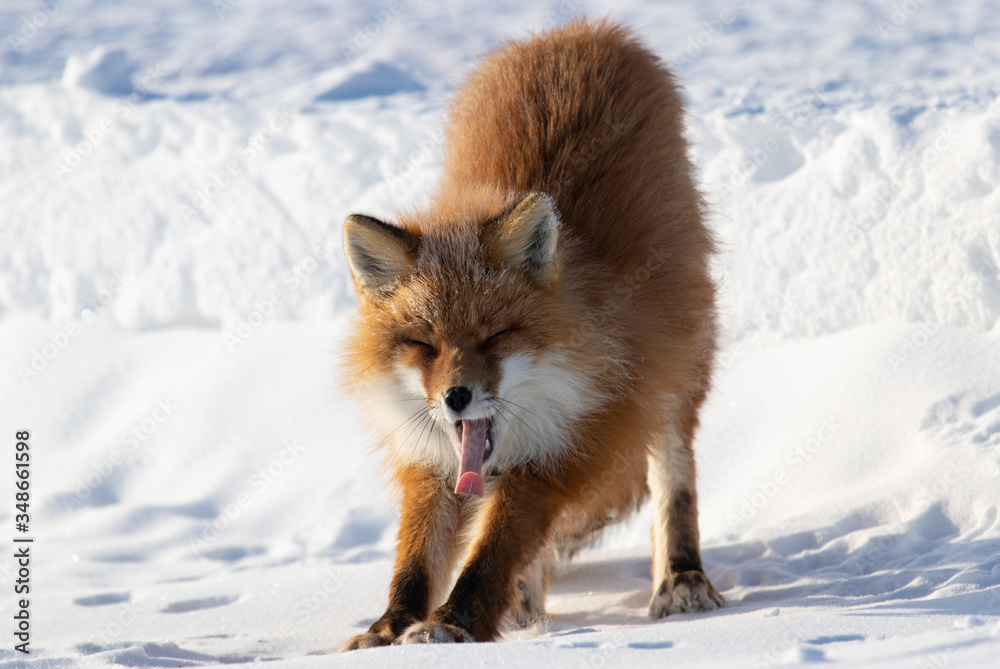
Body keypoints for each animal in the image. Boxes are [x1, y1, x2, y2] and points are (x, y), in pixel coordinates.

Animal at [338, 18, 723, 650]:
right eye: (424, 344)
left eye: (496, 336)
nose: (456, 397)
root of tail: (579, 29)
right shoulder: (431, 455)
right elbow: (417, 557)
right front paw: (389, 627)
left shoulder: (565, 445)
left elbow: (490, 553)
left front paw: (452, 624)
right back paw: (525, 605)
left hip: (675, 366)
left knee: (674, 477)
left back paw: (682, 579)